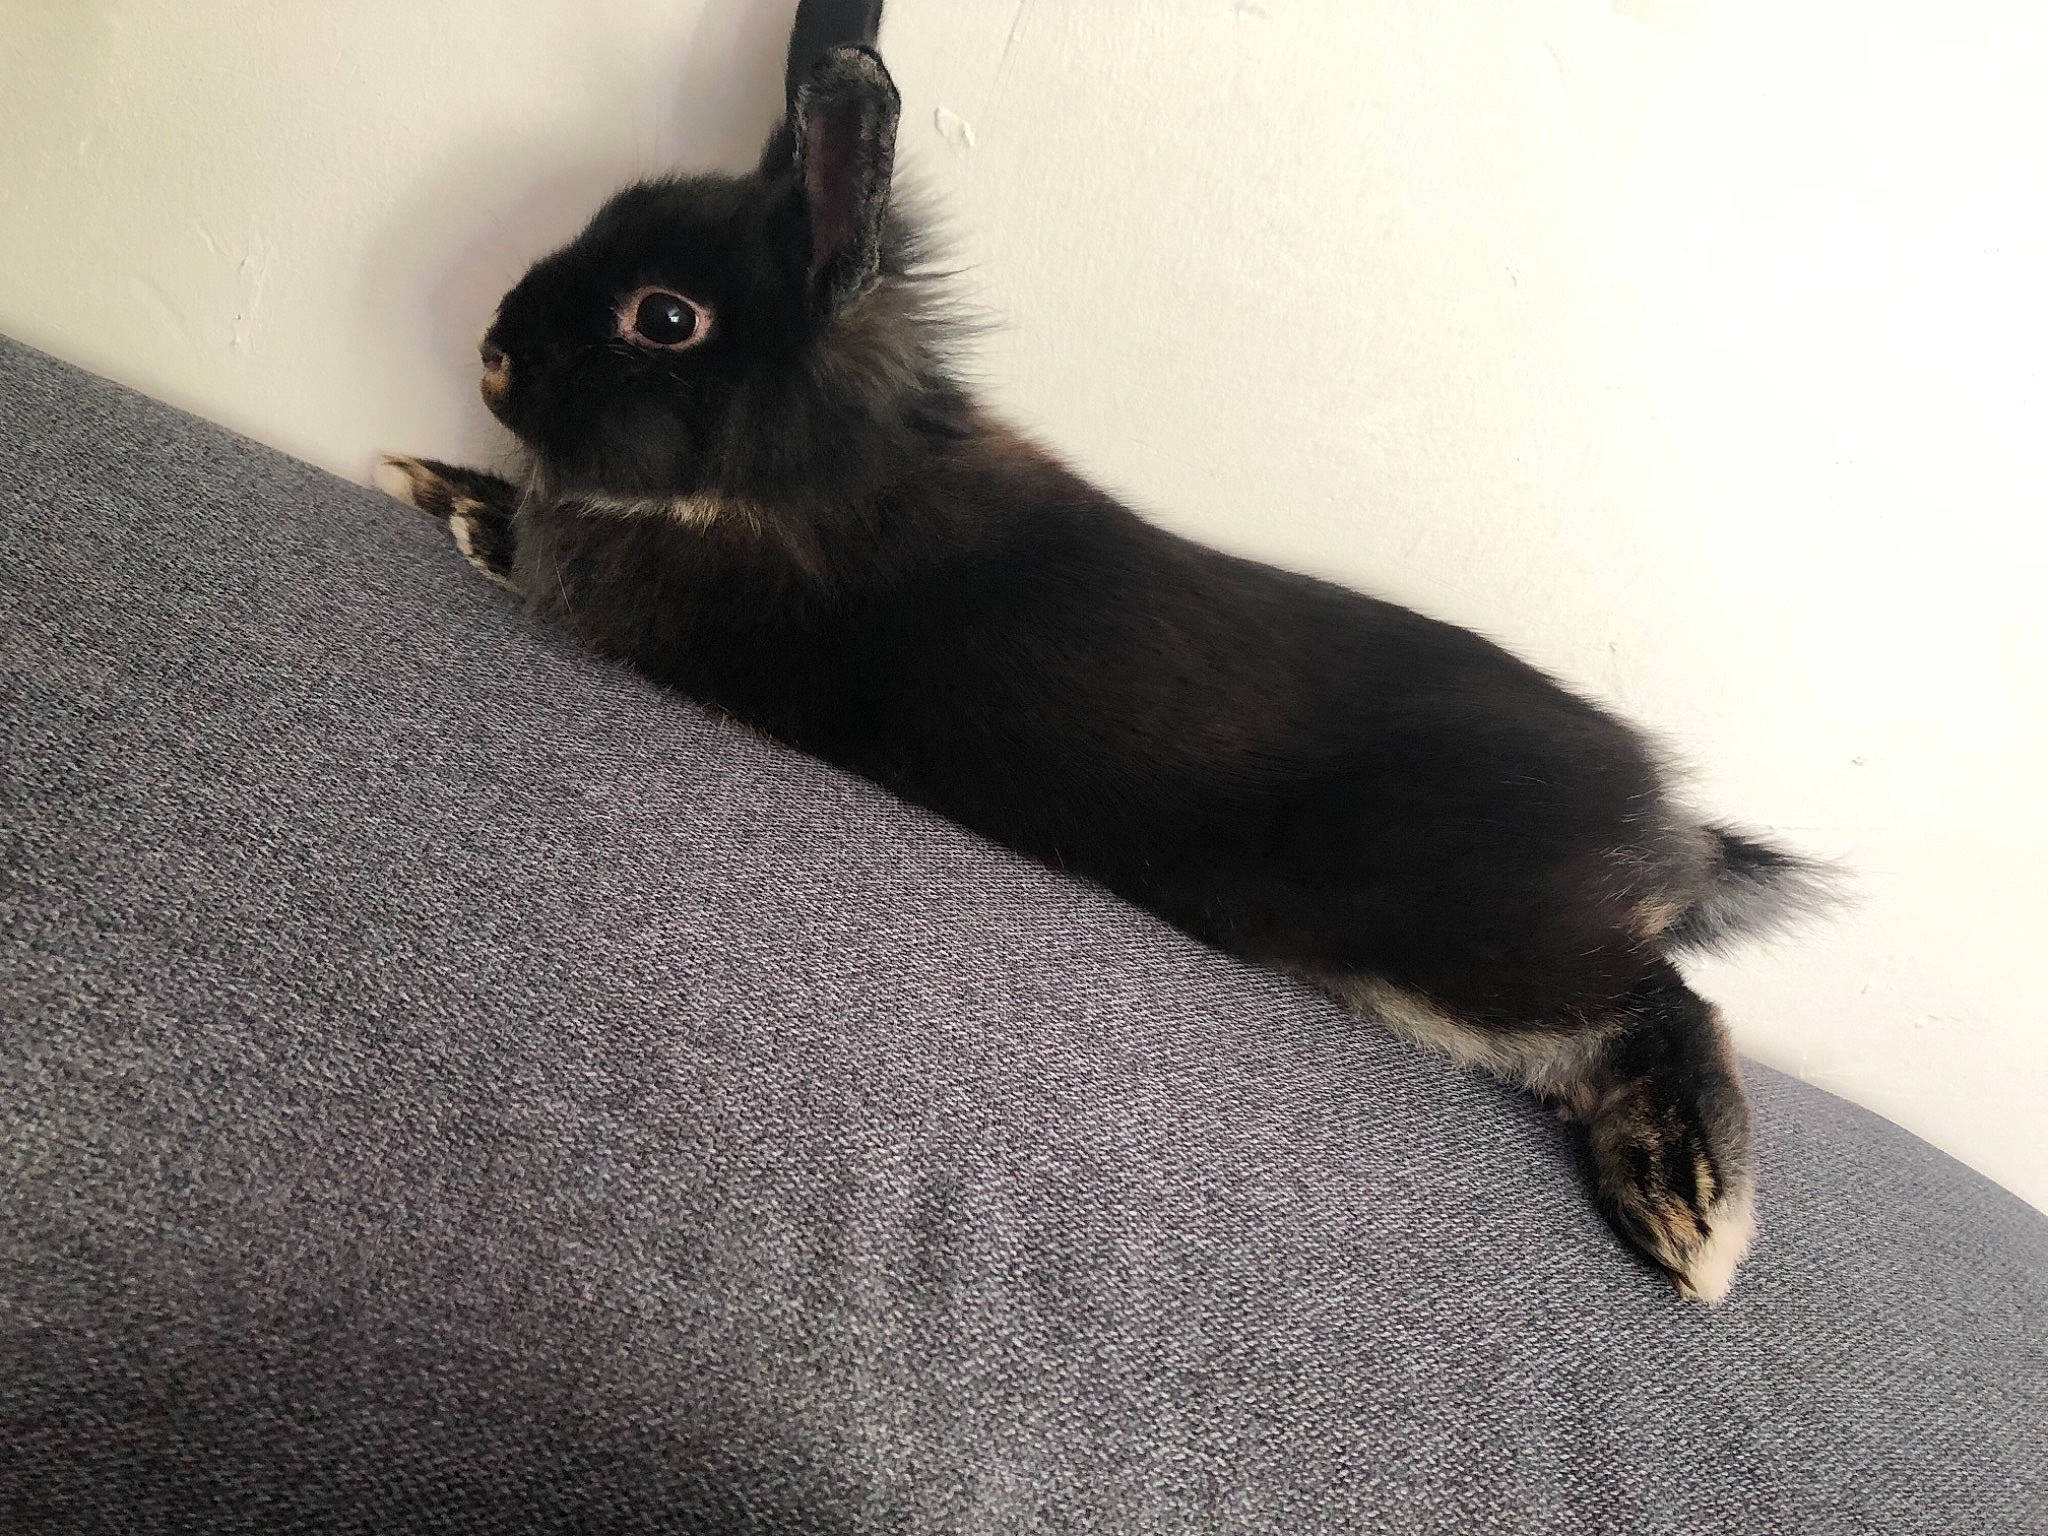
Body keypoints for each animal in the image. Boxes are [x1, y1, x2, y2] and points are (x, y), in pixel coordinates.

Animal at [377, 0, 1833, 1303]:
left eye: (664, 319)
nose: (492, 353)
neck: (808, 474)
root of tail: (1669, 834)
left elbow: (521, 544)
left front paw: (450, 492)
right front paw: (430, 471)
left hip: (1460, 943)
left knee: (1668, 1009)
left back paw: (1691, 1217)